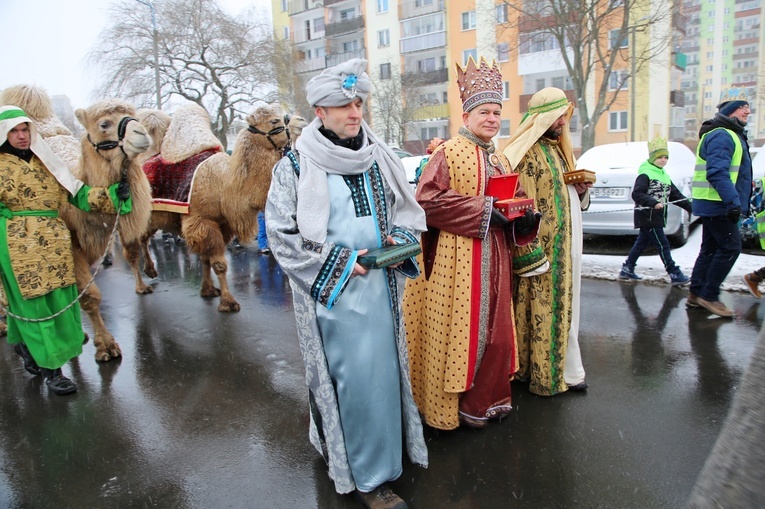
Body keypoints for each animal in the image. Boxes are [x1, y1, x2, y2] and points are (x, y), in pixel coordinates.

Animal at [0, 84, 155, 362]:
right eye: (104, 123)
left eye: (134, 115)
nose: (141, 134)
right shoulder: (70, 245)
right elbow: (90, 297)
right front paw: (106, 347)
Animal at [127, 101, 288, 312]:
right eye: (274, 120)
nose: (296, 121)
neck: (225, 183)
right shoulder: (202, 221)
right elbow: (219, 264)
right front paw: (228, 302)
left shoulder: (221, 224)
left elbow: (206, 259)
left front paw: (208, 290)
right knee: (132, 249)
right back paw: (141, 286)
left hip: (153, 218)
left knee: (144, 238)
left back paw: (151, 271)